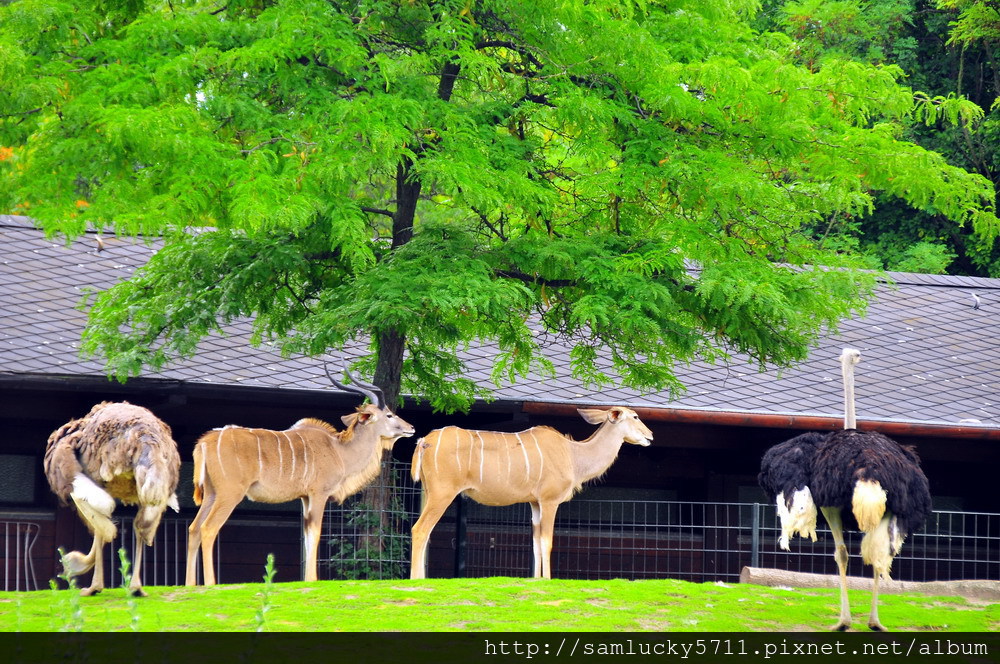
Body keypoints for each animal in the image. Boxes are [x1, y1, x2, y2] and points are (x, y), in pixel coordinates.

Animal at [187, 368, 414, 588]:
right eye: (389, 415)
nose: (411, 428)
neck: (339, 450)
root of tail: (205, 442)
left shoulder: (305, 497)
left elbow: (306, 532)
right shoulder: (318, 494)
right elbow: (315, 530)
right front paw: (312, 579)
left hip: (211, 493)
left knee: (194, 528)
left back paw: (190, 584)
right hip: (230, 493)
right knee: (208, 528)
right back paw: (210, 584)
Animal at [410, 408, 652, 580]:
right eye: (635, 416)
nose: (650, 435)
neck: (572, 454)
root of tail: (424, 441)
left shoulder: (534, 503)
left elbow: (535, 542)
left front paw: (537, 580)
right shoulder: (549, 501)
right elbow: (547, 541)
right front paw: (548, 580)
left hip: (429, 492)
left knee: (425, 531)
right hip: (443, 493)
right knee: (420, 529)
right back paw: (416, 581)